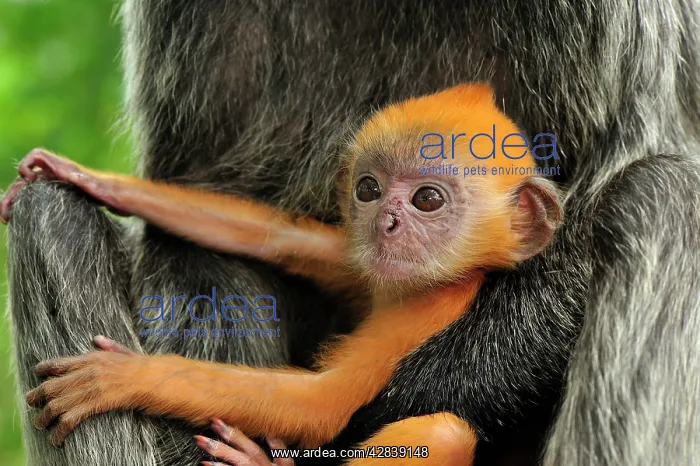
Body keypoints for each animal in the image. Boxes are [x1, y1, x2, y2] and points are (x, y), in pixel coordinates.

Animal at [3, 83, 563, 465]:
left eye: (427, 199)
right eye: (369, 188)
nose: (386, 221)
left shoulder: (430, 309)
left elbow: (321, 404)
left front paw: (121, 378)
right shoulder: (363, 265)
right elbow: (281, 238)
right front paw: (91, 179)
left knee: (441, 433)